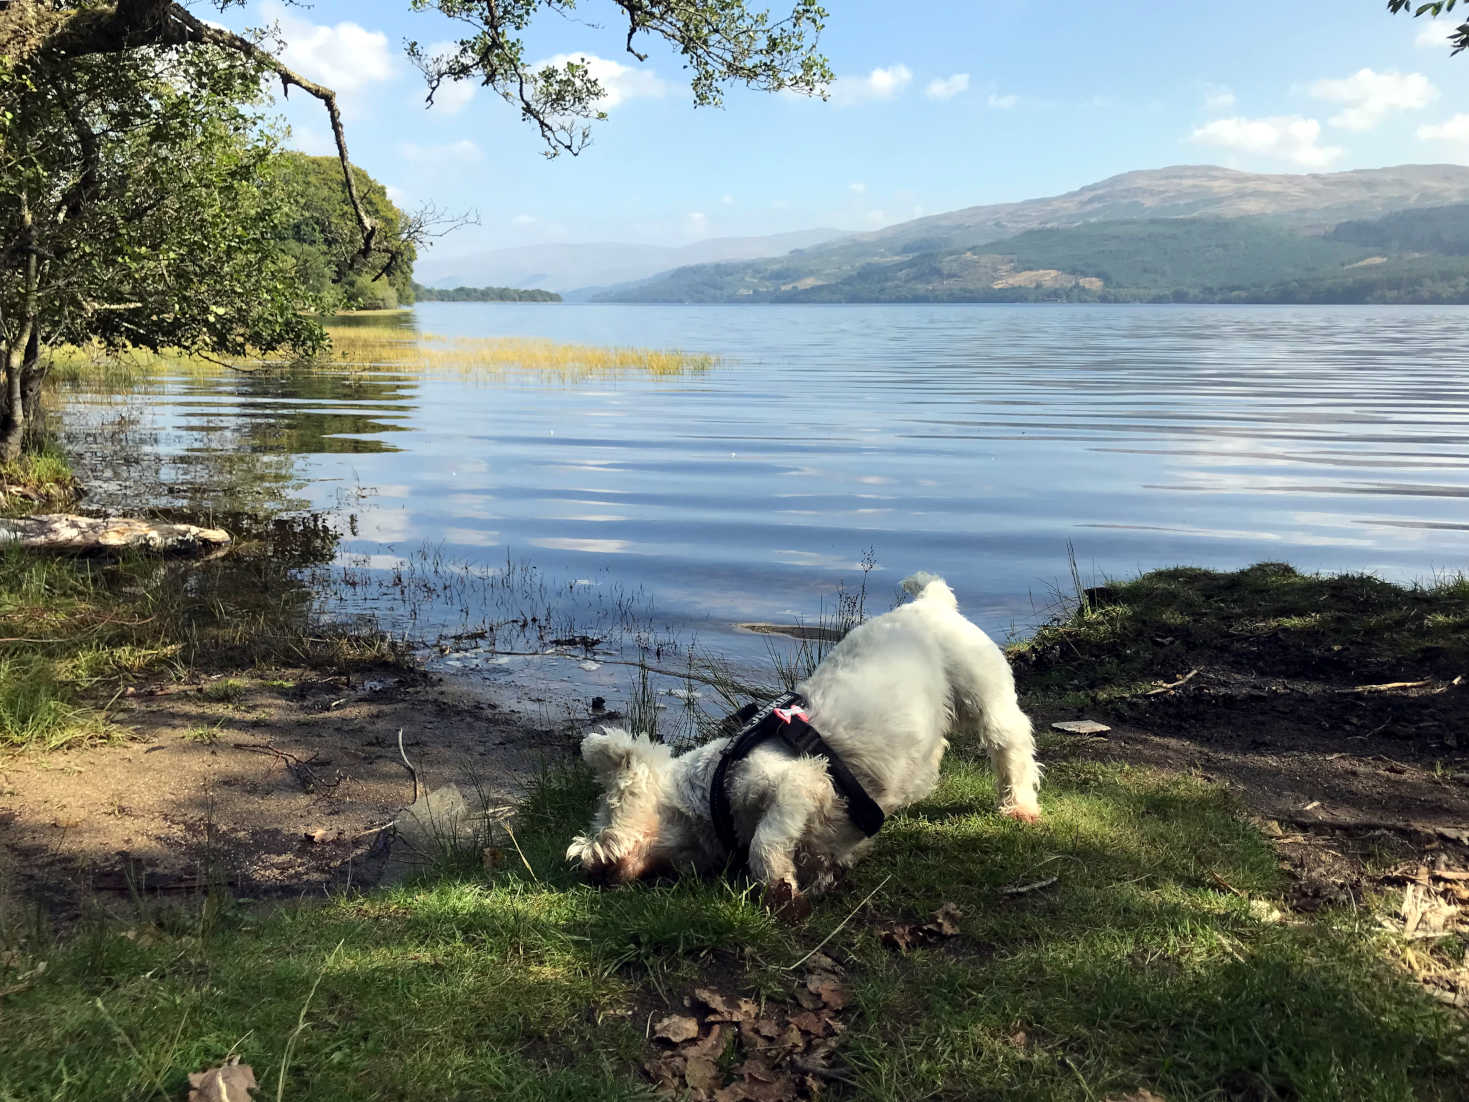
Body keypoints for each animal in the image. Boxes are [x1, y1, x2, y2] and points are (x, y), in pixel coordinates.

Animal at [567, 578, 1040, 905]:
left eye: (604, 815)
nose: (582, 864)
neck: (713, 787)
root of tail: (931, 600)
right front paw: (820, 872)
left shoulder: (801, 780)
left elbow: (765, 841)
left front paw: (779, 884)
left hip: (984, 697)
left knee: (1012, 744)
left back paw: (1019, 806)